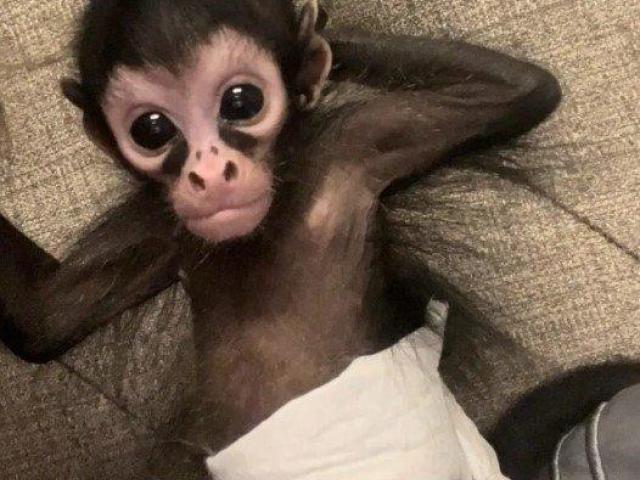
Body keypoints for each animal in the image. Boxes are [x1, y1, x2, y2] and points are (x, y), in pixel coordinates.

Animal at [0, 0, 561, 477]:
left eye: (241, 101)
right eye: (152, 129)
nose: (210, 172)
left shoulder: (353, 147)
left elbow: (523, 92)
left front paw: (314, 28)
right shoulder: (163, 226)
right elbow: (42, 320)